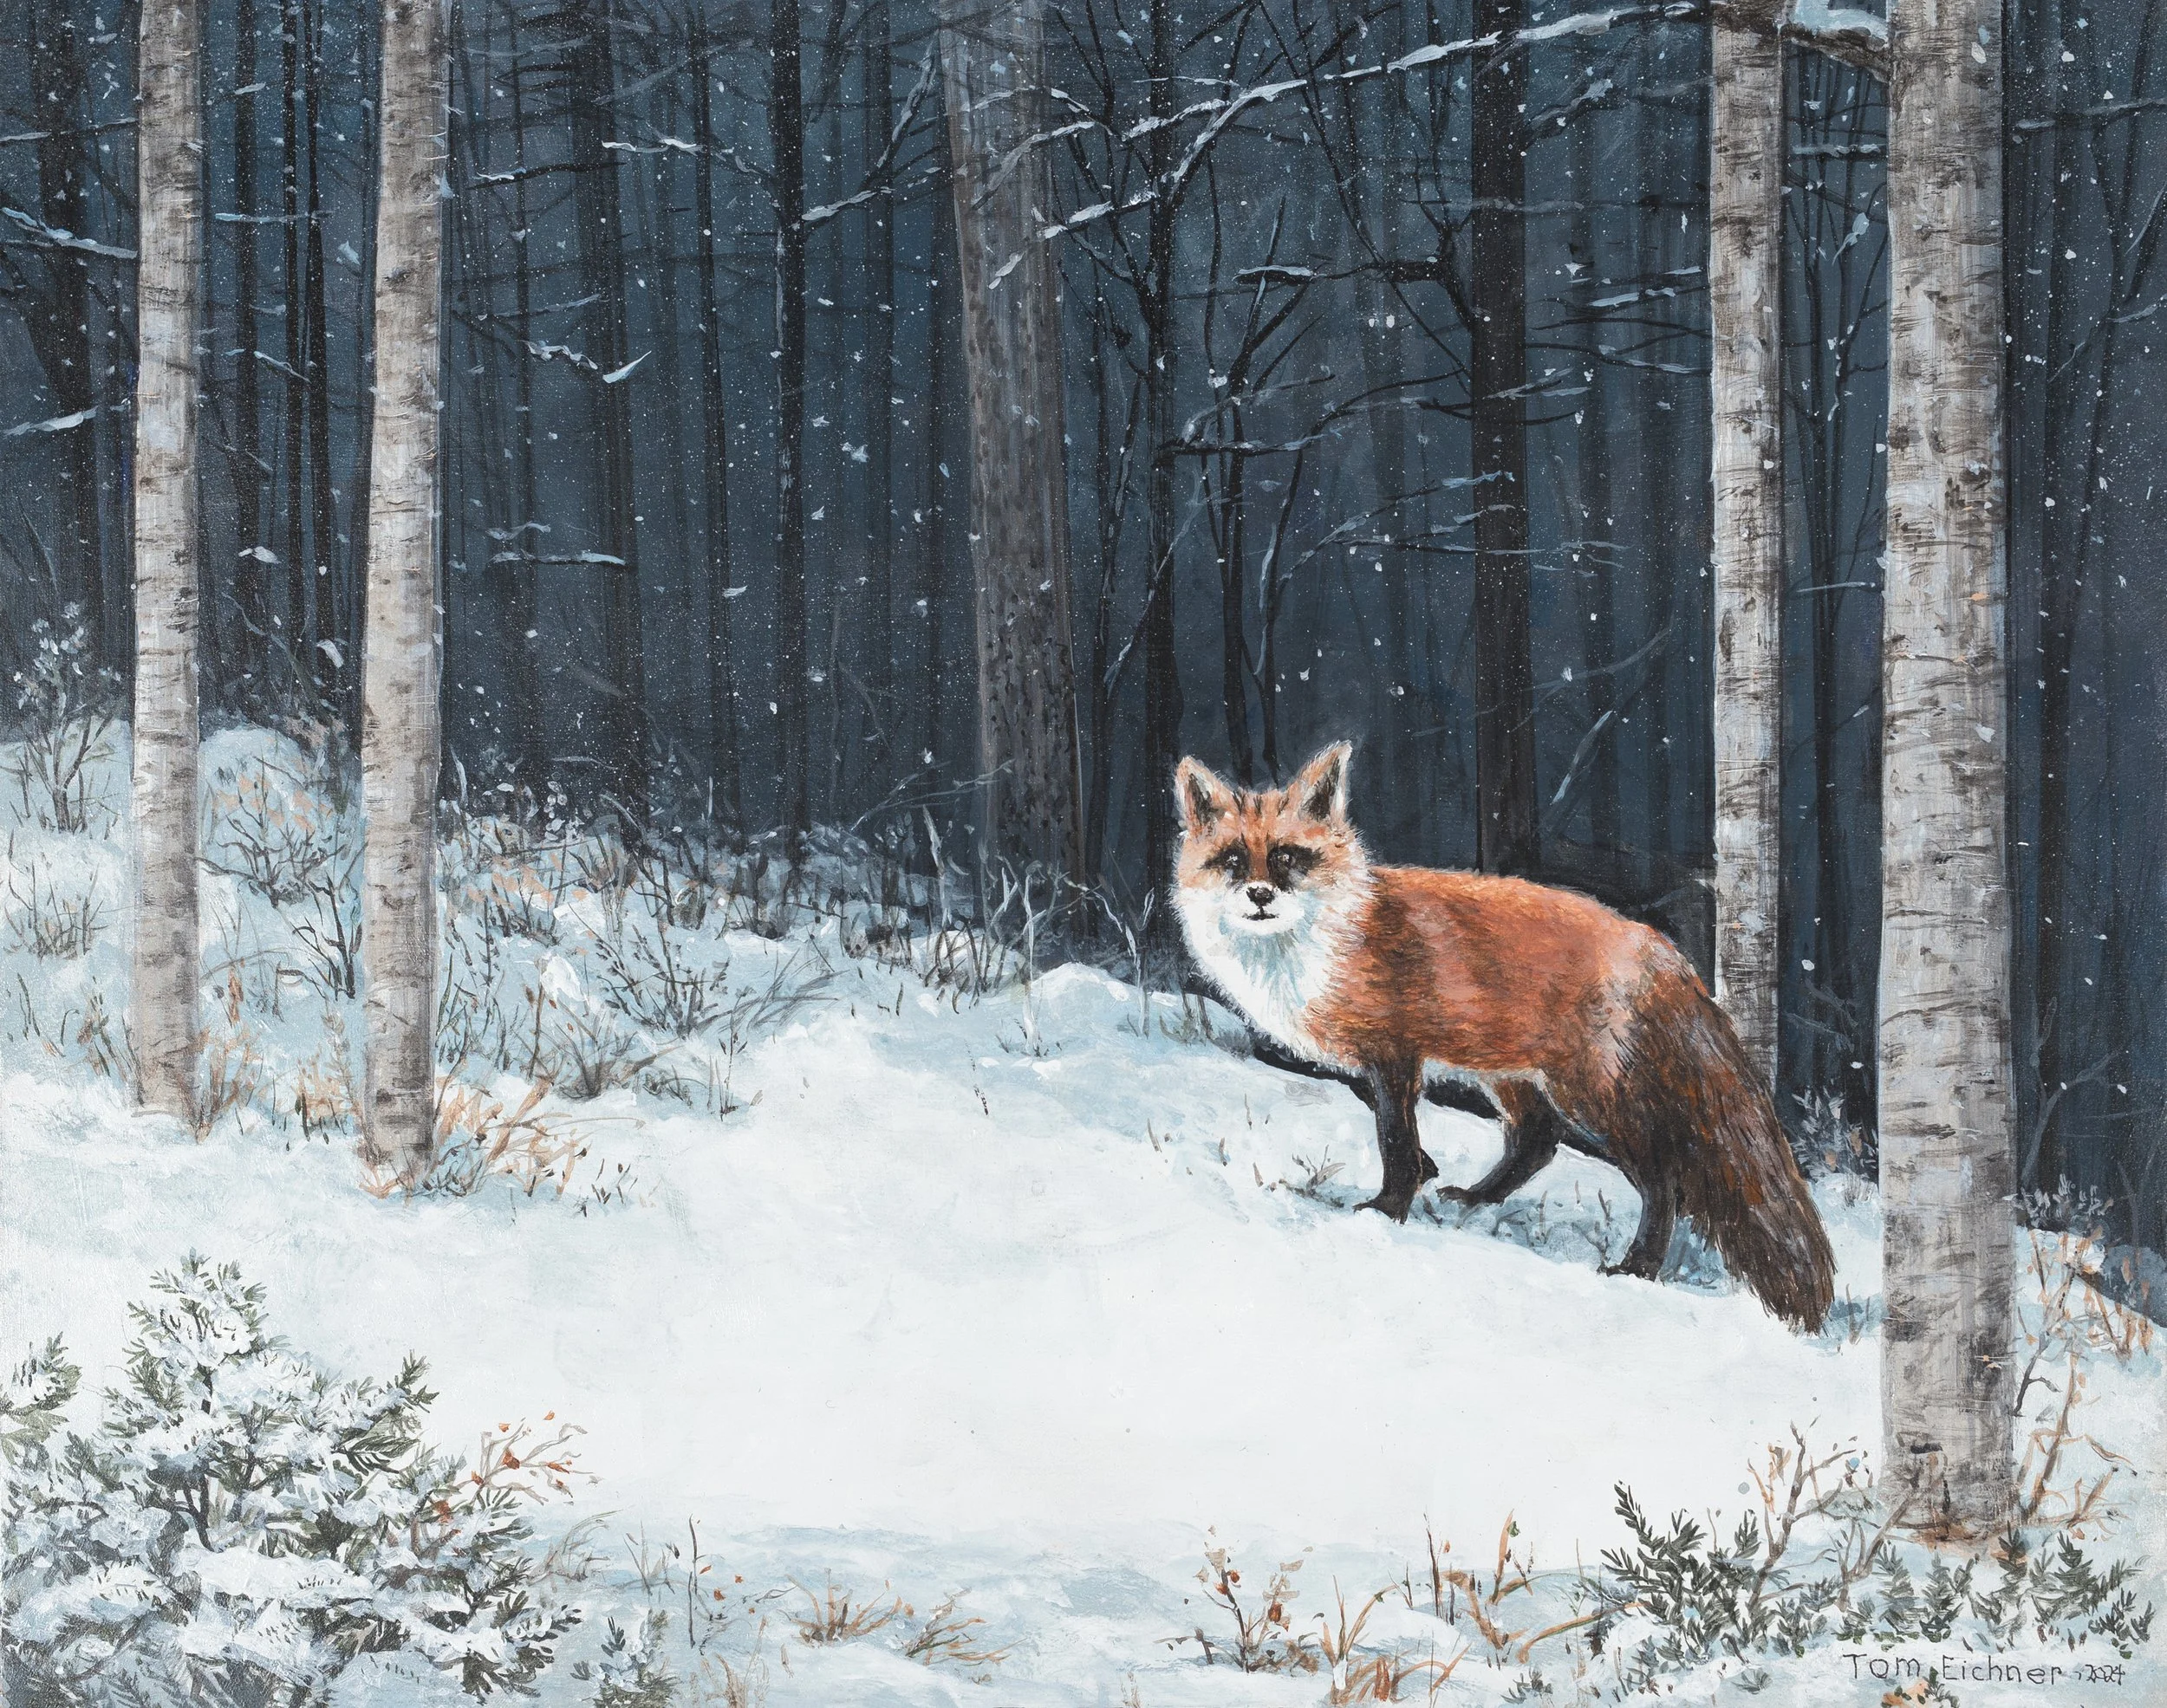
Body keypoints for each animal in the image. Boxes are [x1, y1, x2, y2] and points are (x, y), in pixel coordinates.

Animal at [1172, 740, 1836, 1332]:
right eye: (1233, 861)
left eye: (1287, 858)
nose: (1260, 895)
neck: (1320, 945)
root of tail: (1666, 952)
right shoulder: (1384, 1057)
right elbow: (1382, 1114)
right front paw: (1427, 1172)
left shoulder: (1394, 1049)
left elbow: (1392, 1137)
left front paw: (1388, 1209)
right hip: (1510, 1074)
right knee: (1537, 1141)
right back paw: (1476, 1199)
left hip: (1592, 1096)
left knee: (1662, 1177)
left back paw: (1638, 1266)